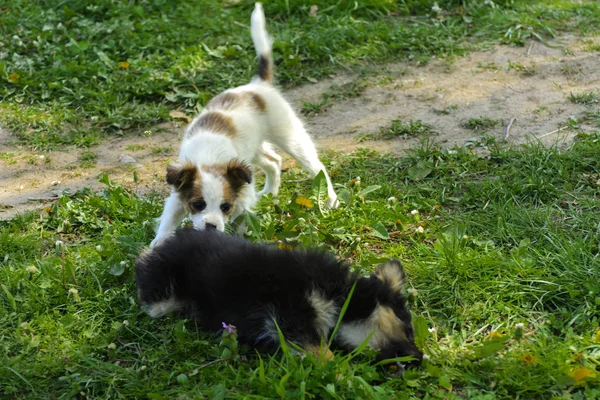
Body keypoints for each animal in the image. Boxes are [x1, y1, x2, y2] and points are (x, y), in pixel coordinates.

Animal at [136, 228, 424, 366]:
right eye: (408, 328)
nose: (420, 357)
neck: (340, 295)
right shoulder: (288, 309)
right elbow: (315, 347)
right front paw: (337, 369)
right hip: (165, 291)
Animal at [150, 2, 338, 247]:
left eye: (225, 207)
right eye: (197, 204)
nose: (211, 227)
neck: (209, 160)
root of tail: (258, 85)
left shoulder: (242, 198)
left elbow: (241, 221)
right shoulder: (177, 196)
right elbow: (168, 221)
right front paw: (158, 243)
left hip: (291, 137)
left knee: (317, 167)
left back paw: (331, 200)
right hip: (252, 151)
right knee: (274, 161)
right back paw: (269, 192)